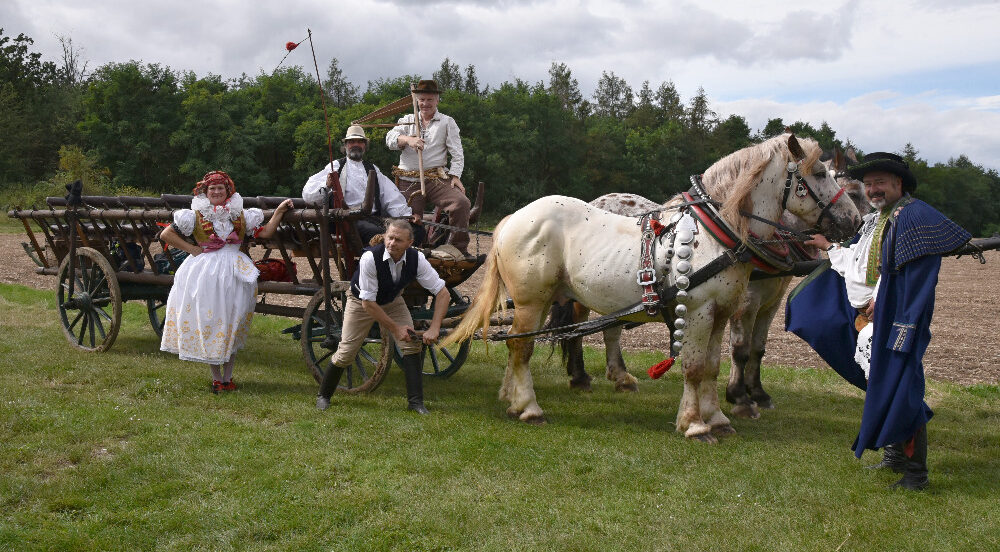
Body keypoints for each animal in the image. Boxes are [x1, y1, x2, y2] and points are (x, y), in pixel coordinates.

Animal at [444, 135, 860, 444]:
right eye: (819, 172)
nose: (853, 221)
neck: (718, 232)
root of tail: (513, 218)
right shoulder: (700, 311)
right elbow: (694, 367)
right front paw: (695, 424)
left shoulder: (722, 313)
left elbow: (712, 366)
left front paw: (718, 417)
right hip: (533, 299)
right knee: (522, 347)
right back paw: (530, 407)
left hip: (545, 299)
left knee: (520, 344)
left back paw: (513, 398)